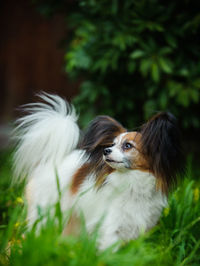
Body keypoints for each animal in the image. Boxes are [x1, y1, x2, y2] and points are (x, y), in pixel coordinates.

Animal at [13, 92, 184, 248]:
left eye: (127, 145)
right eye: (112, 144)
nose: (106, 150)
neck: (132, 184)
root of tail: (51, 160)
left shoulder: (141, 228)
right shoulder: (110, 227)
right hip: (46, 214)